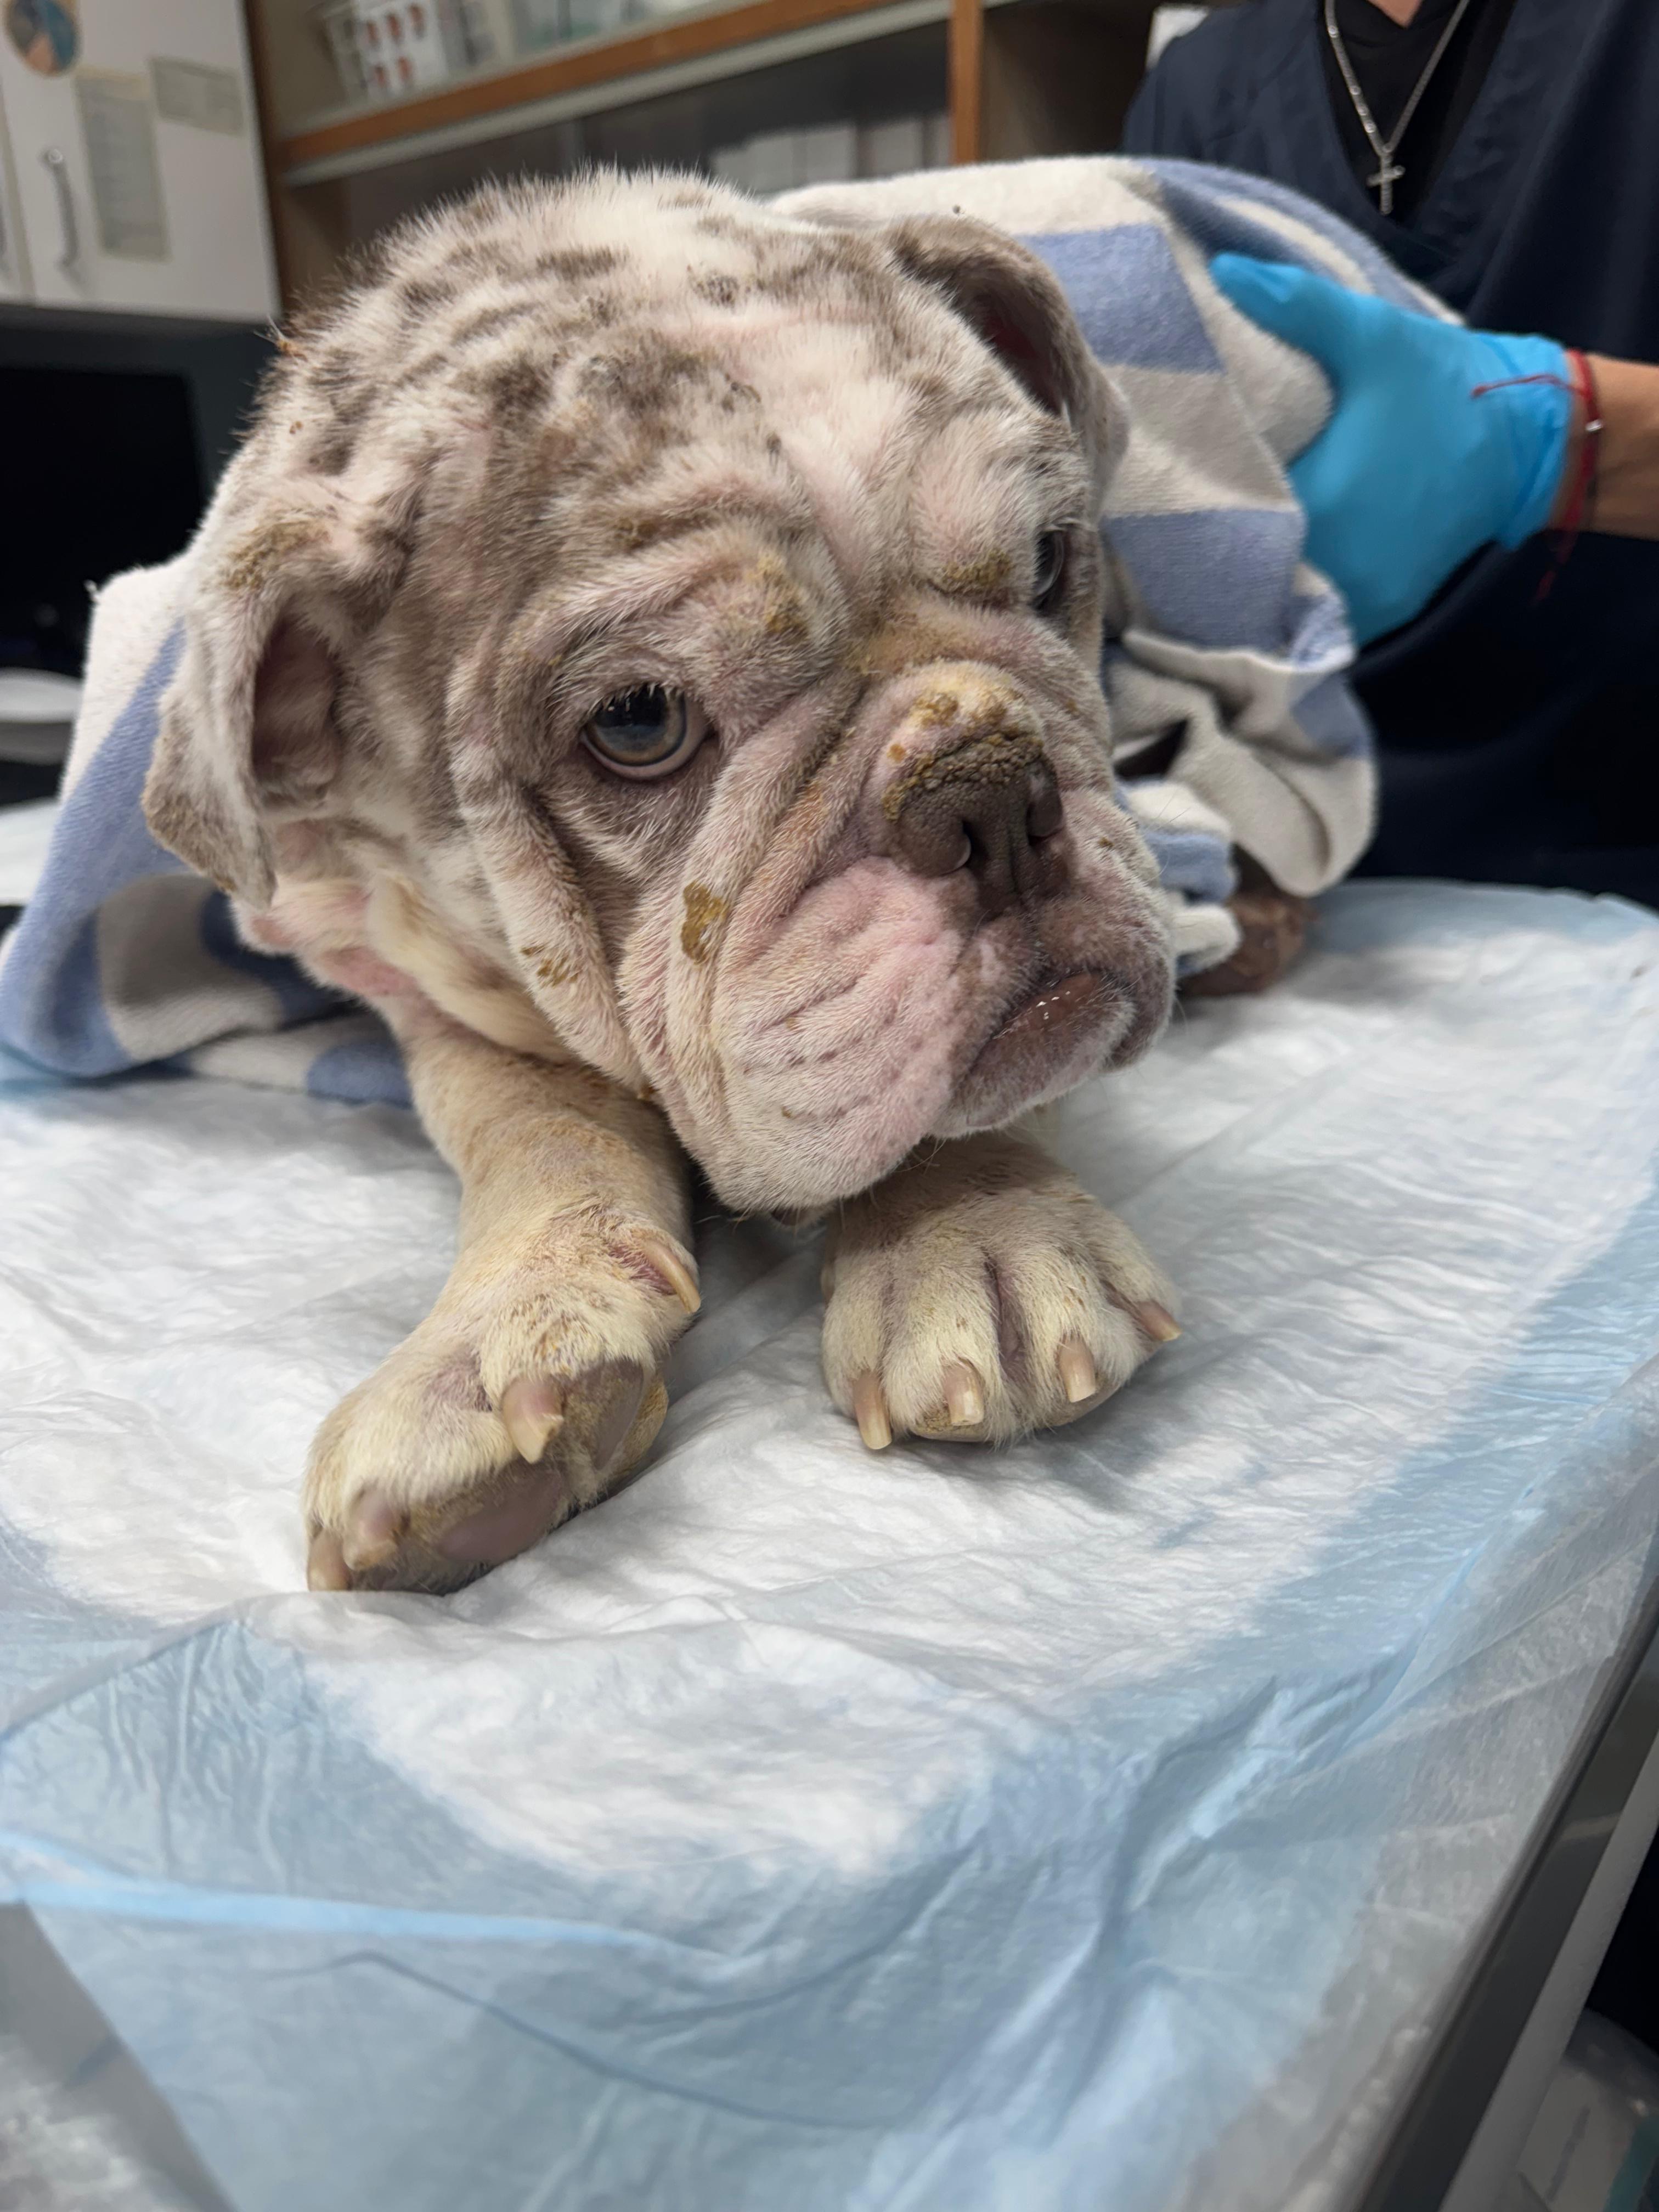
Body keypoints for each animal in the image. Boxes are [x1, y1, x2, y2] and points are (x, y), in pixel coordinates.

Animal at [142, 171, 1214, 1593]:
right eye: (640, 722)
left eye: (1050, 562)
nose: (990, 789)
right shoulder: (441, 1005)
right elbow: (542, 1130)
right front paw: (496, 1335)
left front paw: (978, 1227)